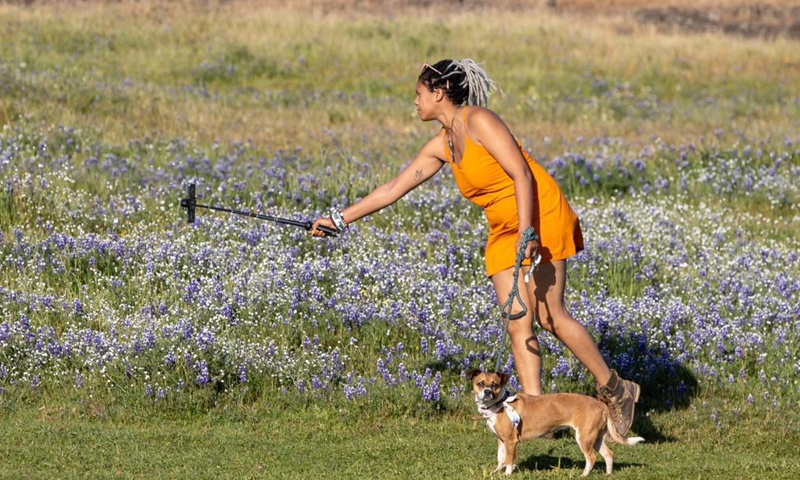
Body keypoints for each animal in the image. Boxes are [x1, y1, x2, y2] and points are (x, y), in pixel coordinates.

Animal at [468, 370, 644, 474]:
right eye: (480, 383)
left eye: (495, 385)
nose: (487, 392)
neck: (501, 403)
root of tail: (601, 404)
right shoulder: (501, 440)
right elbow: (501, 458)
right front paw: (496, 472)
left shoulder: (511, 442)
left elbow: (509, 461)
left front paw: (507, 474)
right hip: (595, 438)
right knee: (608, 454)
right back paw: (608, 474)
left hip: (584, 438)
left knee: (591, 458)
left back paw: (583, 475)